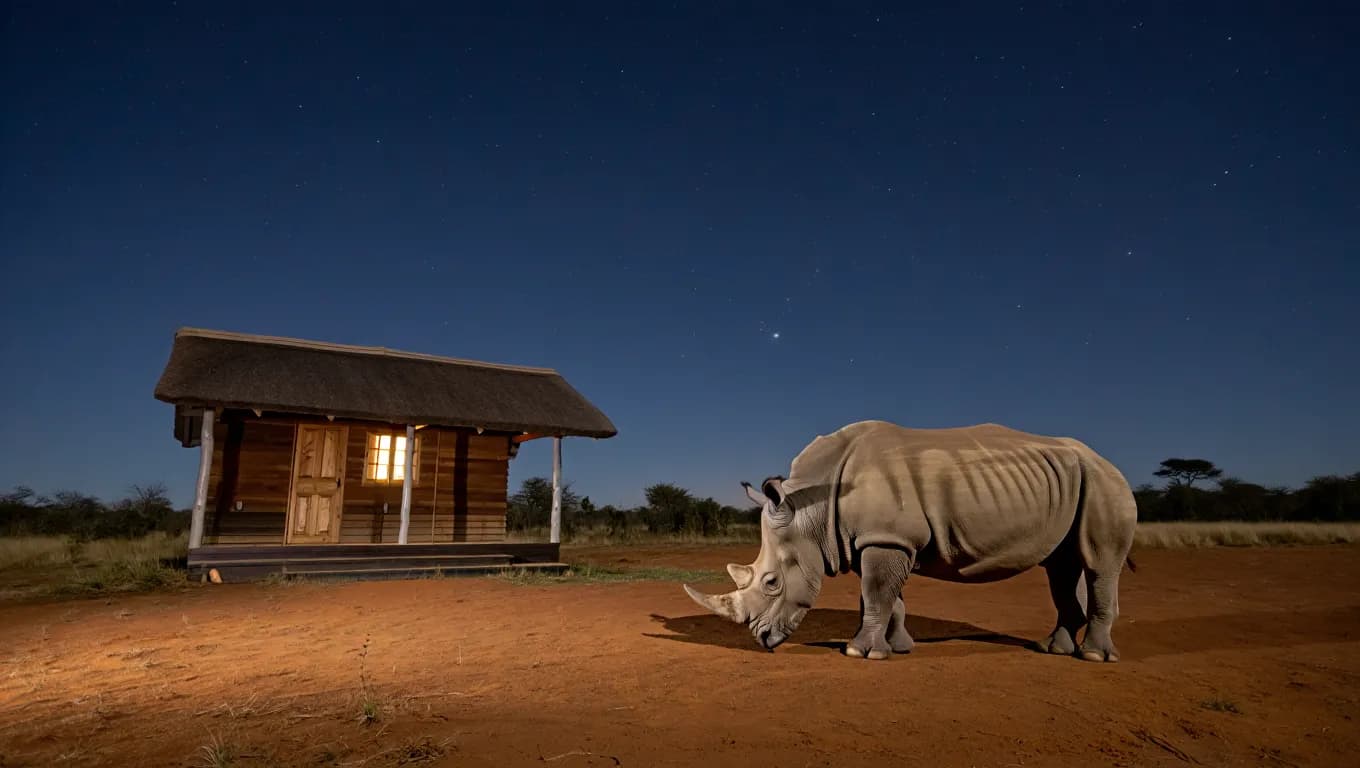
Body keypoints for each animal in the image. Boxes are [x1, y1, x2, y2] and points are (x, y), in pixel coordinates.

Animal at [684, 420, 1138, 662]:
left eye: (771, 582)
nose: (761, 641)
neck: (810, 508)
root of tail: (1106, 462)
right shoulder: (882, 539)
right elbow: (887, 597)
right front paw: (897, 648)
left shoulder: (887, 539)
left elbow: (876, 592)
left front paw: (860, 653)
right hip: (1074, 481)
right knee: (1061, 566)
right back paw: (1052, 649)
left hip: (1103, 482)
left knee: (1098, 564)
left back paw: (1093, 656)